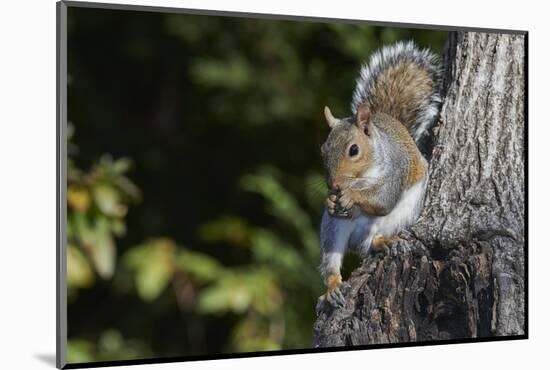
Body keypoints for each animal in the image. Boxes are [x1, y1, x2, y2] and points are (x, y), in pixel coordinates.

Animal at [320, 40, 444, 306]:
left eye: (353, 150)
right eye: (323, 149)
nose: (333, 186)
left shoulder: (396, 170)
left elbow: (383, 199)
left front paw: (351, 198)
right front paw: (332, 200)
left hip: (398, 216)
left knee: (370, 242)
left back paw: (383, 241)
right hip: (333, 227)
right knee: (334, 257)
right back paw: (332, 287)